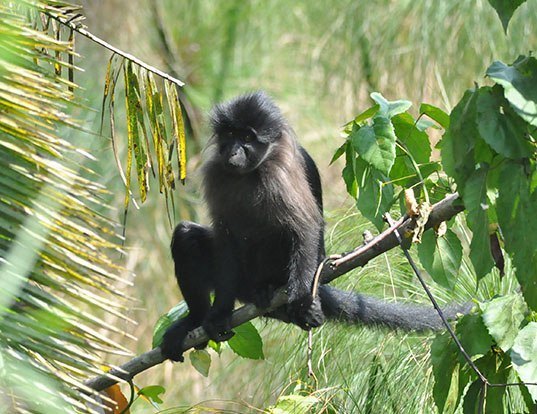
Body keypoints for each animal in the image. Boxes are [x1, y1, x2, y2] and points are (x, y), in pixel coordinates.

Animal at [160, 91, 468, 362]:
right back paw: (197, 319)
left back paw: (273, 290)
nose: (234, 151)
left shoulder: (281, 172)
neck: (250, 174)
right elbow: (225, 238)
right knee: (186, 237)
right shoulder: (217, 172)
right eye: (231, 135)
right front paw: (219, 313)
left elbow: (304, 227)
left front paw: (299, 300)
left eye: (247, 137)